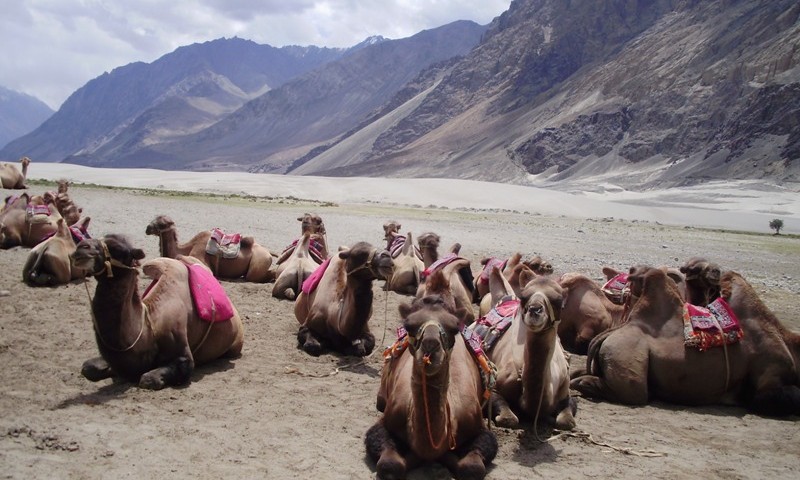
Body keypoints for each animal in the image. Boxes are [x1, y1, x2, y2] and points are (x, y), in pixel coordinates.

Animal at [72, 234, 247, 388]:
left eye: (118, 249)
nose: (81, 247)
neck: (149, 326)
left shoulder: (182, 352)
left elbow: (148, 379)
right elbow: (88, 368)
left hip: (235, 344)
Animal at [366, 272, 496, 478]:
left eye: (454, 327)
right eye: (408, 326)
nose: (430, 346)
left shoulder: (479, 428)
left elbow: (472, 468)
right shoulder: (385, 422)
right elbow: (389, 465)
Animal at [478, 264, 580, 430]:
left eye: (559, 301)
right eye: (524, 297)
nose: (534, 309)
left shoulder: (566, 391)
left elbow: (566, 422)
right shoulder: (494, 384)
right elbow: (508, 419)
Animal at [572, 266, 800, 416]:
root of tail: (611, 333)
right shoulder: (770, 373)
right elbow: (781, 397)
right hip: (625, 358)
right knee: (634, 393)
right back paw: (584, 384)